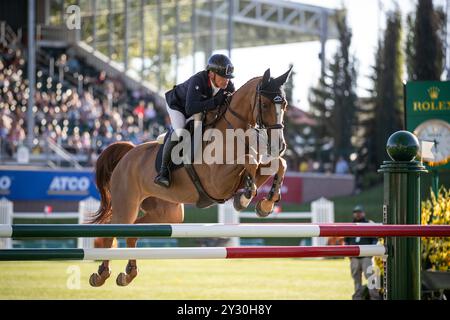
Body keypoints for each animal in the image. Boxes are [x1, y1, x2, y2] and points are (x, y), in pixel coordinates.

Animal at [90, 67, 292, 284]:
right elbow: (250, 160)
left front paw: (265, 203)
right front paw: (246, 197)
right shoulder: (216, 182)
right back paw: (101, 274)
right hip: (127, 204)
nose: (279, 146)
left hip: (168, 213)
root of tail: (128, 153)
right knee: (113, 231)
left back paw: (128, 273)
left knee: (134, 231)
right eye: (264, 104)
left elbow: (277, 163)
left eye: (284, 105)